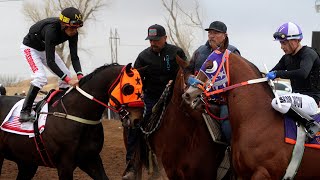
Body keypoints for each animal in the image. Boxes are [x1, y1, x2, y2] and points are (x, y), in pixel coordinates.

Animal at [0, 63, 144, 180]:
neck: (76, 113)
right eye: (128, 88)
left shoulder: (90, 159)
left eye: (142, 88)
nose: (137, 119)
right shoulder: (65, 166)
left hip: (27, 163)